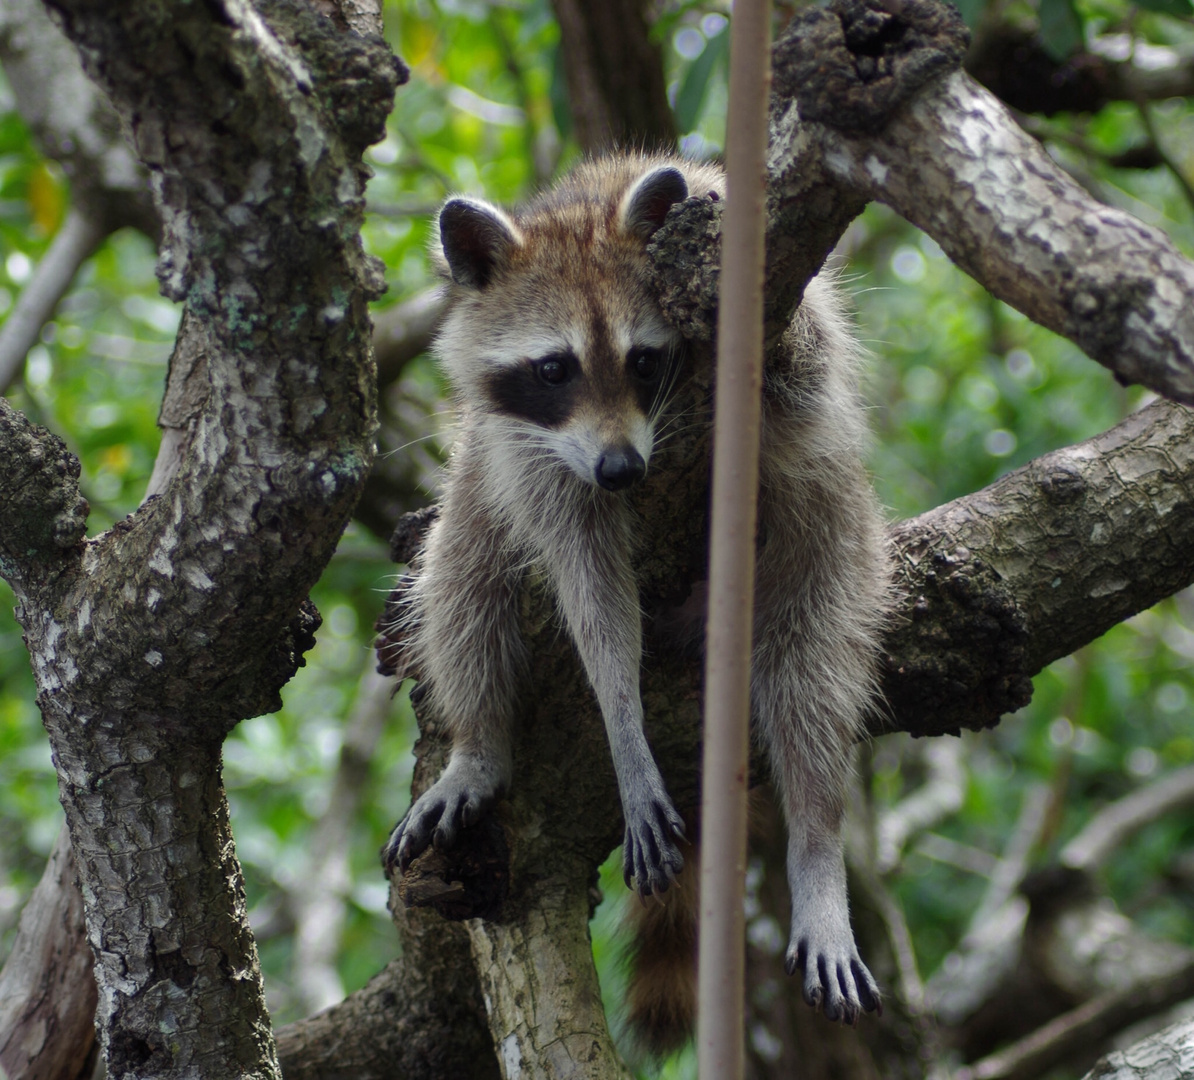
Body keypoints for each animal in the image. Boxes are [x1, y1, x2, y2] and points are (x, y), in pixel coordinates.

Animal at [382, 153, 888, 1026]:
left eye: (645, 361)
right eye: (555, 369)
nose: (622, 469)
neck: (584, 209)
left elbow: (803, 360)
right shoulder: (538, 457)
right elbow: (592, 595)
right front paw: (625, 728)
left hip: (832, 525)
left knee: (811, 664)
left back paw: (817, 843)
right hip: (488, 480)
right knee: (463, 562)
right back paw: (480, 743)